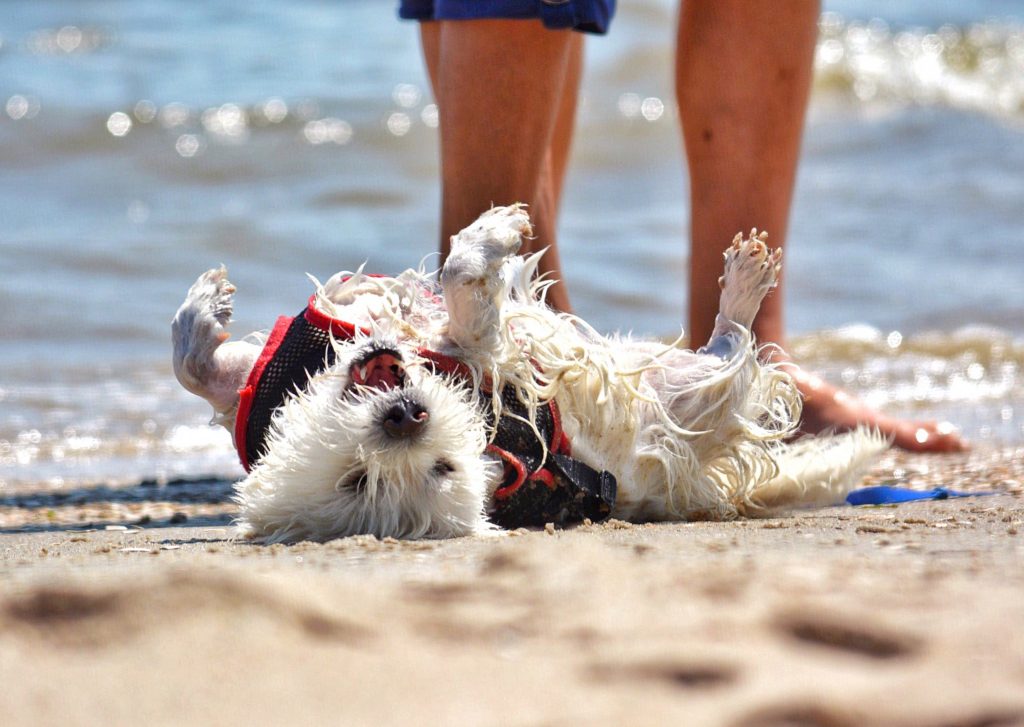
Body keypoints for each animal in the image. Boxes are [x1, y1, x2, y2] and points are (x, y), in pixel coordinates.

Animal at [172, 204, 884, 540]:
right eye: (360, 480)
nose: (406, 416)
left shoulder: (268, 373)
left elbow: (192, 365)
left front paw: (205, 304)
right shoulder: (494, 360)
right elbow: (465, 281)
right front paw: (495, 231)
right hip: (688, 403)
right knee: (732, 349)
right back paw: (743, 284)